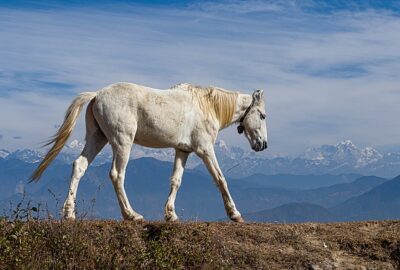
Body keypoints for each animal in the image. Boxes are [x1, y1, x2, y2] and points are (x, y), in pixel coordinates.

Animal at [30, 82, 268, 221]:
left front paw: (171, 214)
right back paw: (131, 215)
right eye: (263, 115)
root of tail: (97, 95)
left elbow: (176, 181)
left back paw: (69, 213)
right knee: (117, 175)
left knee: (79, 166)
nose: (263, 144)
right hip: (122, 142)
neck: (208, 106)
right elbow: (220, 178)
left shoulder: (182, 151)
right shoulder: (205, 149)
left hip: (98, 138)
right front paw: (235, 214)